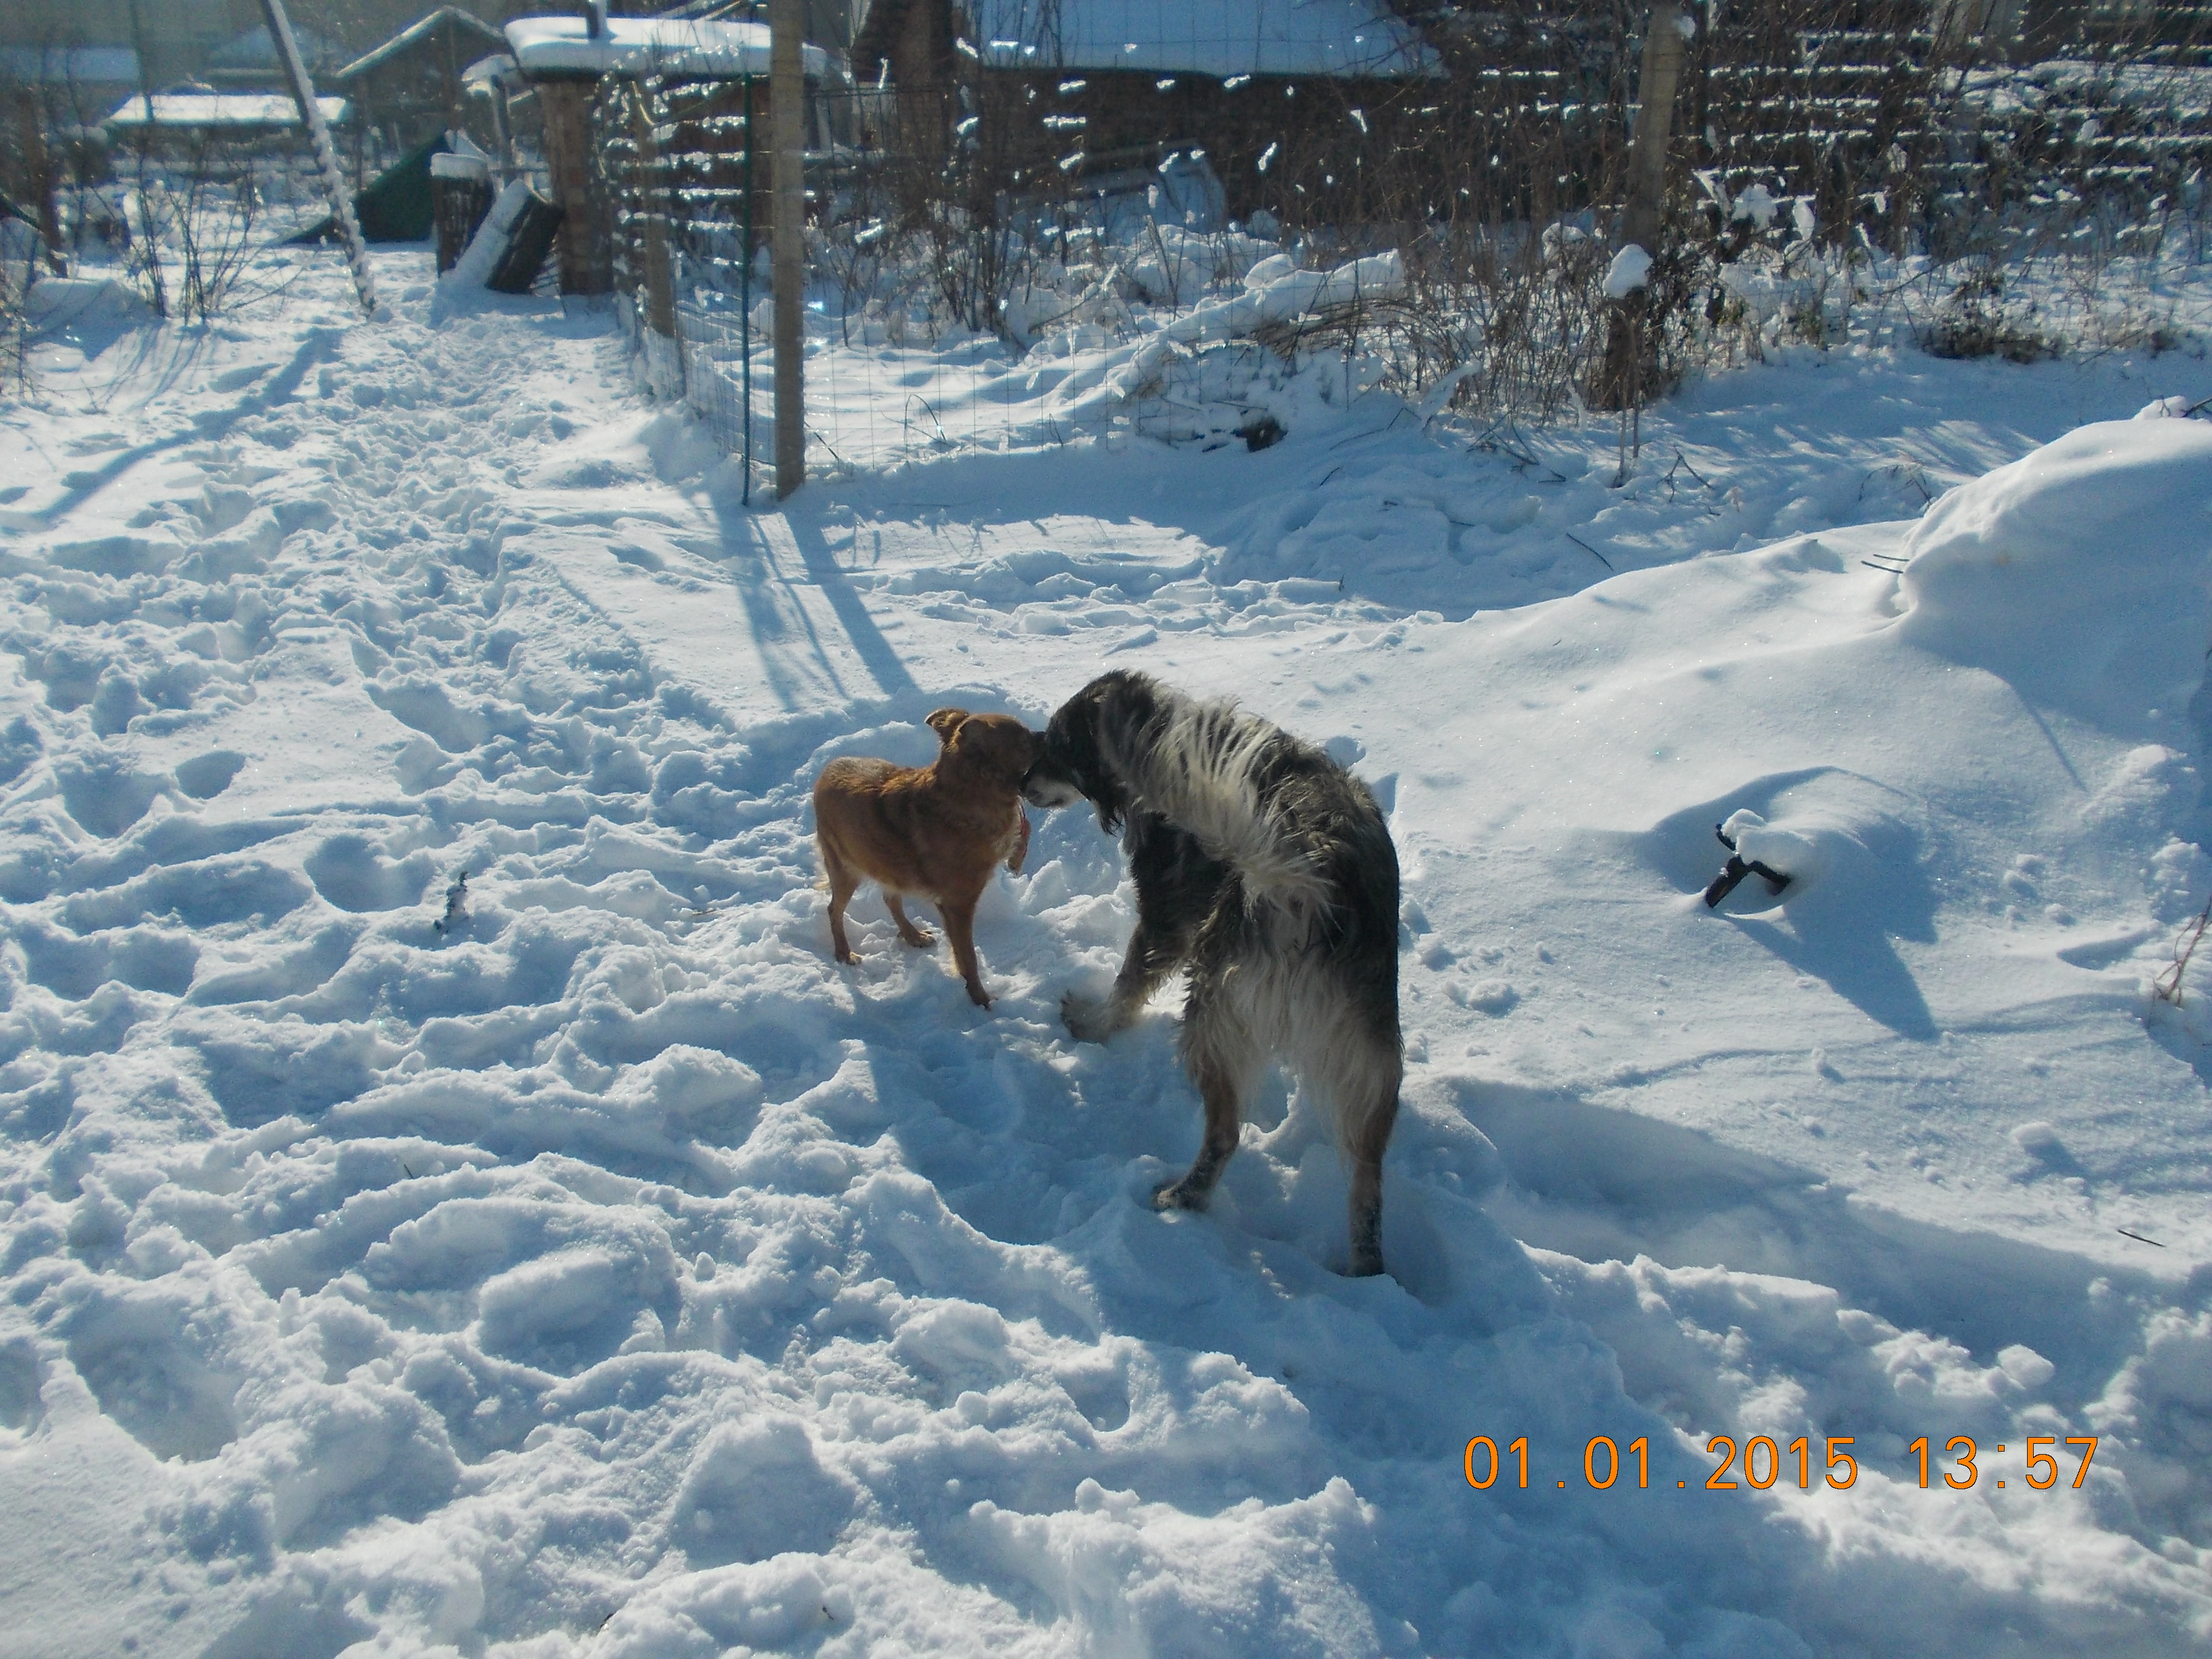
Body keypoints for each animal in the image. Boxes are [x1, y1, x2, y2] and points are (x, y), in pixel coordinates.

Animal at [814, 708, 1044, 1008]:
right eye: (1024, 741)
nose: (1047, 735)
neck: (971, 794)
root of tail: (828, 770)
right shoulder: (958, 905)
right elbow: (967, 957)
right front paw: (979, 999)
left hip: (891, 867)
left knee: (890, 899)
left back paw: (912, 935)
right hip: (845, 870)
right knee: (835, 910)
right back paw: (844, 952)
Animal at [1022, 668, 1398, 1282]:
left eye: (1056, 747)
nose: (1020, 783)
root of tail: (1312, 884)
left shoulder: (1165, 920)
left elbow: (1127, 987)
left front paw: (1094, 1025)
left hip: (1212, 1008)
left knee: (1224, 1135)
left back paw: (1180, 1198)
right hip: (1372, 1062)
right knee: (1367, 1179)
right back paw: (1366, 1270)